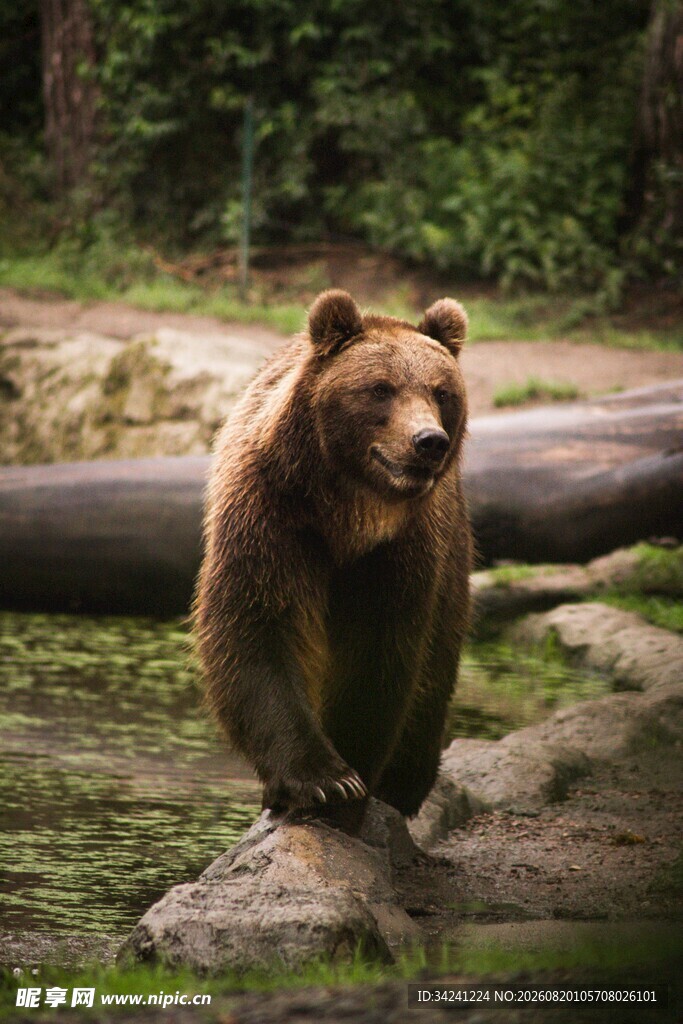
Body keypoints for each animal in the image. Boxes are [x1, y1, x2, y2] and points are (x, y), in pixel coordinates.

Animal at [194, 289, 472, 826]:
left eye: (441, 391)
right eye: (381, 389)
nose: (428, 441)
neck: (348, 514)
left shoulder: (402, 551)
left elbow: (378, 654)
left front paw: (354, 780)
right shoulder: (270, 517)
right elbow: (257, 628)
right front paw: (324, 781)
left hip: (454, 566)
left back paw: (404, 785)